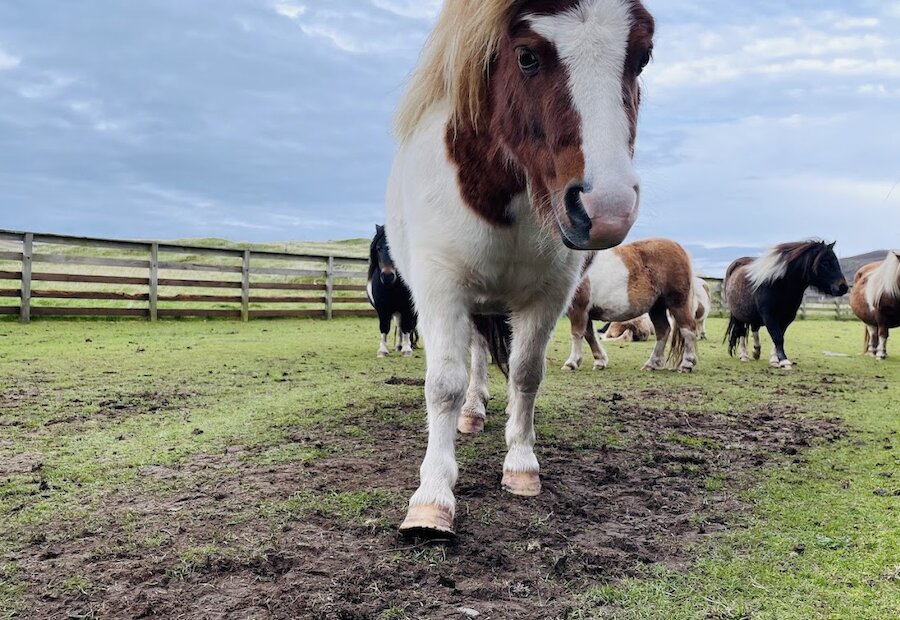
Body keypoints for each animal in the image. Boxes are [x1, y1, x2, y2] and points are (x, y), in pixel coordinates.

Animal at [366, 225, 417, 358]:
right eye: (378, 248)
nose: (387, 276)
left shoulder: (408, 308)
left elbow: (407, 326)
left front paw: (407, 349)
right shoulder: (382, 308)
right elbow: (384, 327)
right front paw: (383, 350)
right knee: (398, 325)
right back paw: (399, 345)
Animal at [386, 0, 655, 537]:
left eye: (643, 56)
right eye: (527, 56)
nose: (606, 209)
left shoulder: (550, 294)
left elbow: (527, 374)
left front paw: (522, 463)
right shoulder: (441, 289)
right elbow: (444, 385)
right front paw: (432, 497)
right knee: (471, 361)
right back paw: (471, 414)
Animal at [564, 238, 699, 372]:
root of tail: (678, 247)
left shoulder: (578, 309)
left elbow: (577, 334)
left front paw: (571, 363)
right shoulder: (584, 312)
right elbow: (589, 335)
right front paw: (600, 361)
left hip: (677, 303)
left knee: (688, 328)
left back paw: (686, 364)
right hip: (657, 307)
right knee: (663, 331)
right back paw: (651, 364)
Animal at [724, 240, 848, 369]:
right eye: (825, 262)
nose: (843, 287)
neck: (779, 285)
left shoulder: (787, 317)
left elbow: (779, 336)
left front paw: (774, 359)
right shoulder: (769, 316)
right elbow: (777, 337)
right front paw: (784, 361)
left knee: (754, 329)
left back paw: (756, 351)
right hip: (738, 315)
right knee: (741, 332)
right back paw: (744, 355)